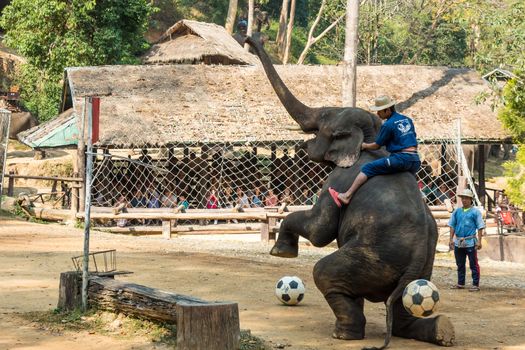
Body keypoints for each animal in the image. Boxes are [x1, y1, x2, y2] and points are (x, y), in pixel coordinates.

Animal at [246, 36, 454, 350]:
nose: (250, 38)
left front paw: (280, 253)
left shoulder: (340, 178)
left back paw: (343, 334)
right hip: (421, 269)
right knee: (401, 308)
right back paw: (443, 331)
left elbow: (320, 230)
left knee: (326, 273)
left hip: (374, 257)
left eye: (322, 121)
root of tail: (418, 254)